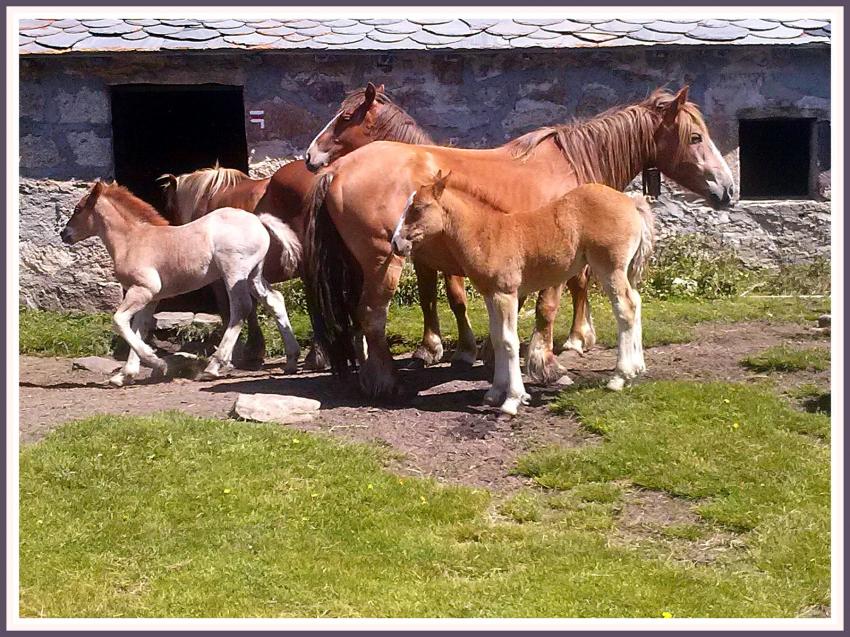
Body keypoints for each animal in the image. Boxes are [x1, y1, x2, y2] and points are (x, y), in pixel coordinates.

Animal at [60, 181, 298, 386]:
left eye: (78, 208)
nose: (64, 234)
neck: (133, 240)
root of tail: (258, 220)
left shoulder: (143, 290)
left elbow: (120, 321)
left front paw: (158, 363)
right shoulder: (150, 298)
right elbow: (138, 328)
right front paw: (125, 375)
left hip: (233, 273)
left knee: (241, 308)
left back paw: (213, 366)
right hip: (252, 275)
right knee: (275, 300)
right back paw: (291, 359)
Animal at [392, 171, 656, 414]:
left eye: (418, 208)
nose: (396, 243)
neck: (486, 234)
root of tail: (630, 202)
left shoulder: (506, 294)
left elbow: (510, 342)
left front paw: (513, 400)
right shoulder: (491, 295)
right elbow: (497, 339)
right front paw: (494, 393)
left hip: (610, 268)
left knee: (625, 309)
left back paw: (620, 377)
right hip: (622, 270)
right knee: (636, 302)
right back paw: (638, 367)